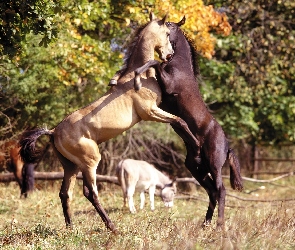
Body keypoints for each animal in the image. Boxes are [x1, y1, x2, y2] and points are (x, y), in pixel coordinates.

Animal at [134, 16, 243, 229]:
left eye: (169, 26)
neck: (180, 67)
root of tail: (228, 146)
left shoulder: (168, 86)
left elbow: (154, 62)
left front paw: (135, 76)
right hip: (197, 169)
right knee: (212, 192)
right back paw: (205, 224)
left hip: (214, 165)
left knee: (221, 190)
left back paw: (219, 226)